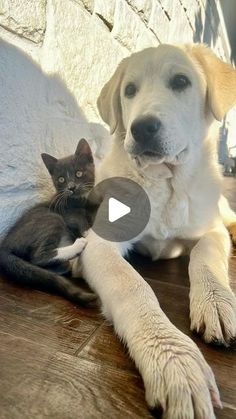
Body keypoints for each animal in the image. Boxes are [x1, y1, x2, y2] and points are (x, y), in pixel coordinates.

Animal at [0, 139, 96, 306]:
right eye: (61, 179)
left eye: (79, 173)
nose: (71, 187)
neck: (81, 201)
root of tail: (5, 245)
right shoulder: (68, 213)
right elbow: (82, 224)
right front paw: (88, 231)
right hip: (51, 218)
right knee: (38, 257)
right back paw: (77, 246)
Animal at [79, 44, 236, 418]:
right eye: (129, 90)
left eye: (181, 81)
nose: (143, 128)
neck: (165, 184)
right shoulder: (101, 242)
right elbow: (133, 287)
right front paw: (175, 362)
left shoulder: (211, 230)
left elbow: (206, 257)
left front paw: (216, 303)